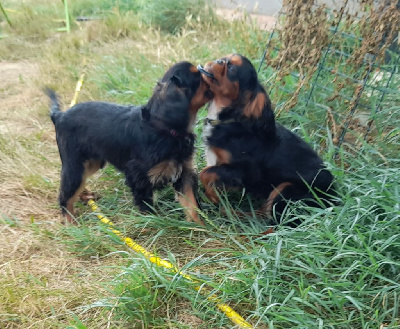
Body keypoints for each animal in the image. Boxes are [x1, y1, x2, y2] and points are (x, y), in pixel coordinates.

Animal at [46, 61, 212, 224]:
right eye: (197, 77)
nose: (210, 72)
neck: (163, 129)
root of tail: (59, 115)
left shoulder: (184, 172)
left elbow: (192, 205)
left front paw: (200, 227)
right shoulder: (138, 177)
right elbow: (147, 209)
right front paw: (153, 224)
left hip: (92, 161)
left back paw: (84, 195)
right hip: (74, 163)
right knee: (66, 192)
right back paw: (71, 222)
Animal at [198, 53, 336, 224]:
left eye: (231, 68)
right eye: (224, 58)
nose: (219, 60)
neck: (229, 119)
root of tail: (335, 198)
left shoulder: (244, 171)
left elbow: (205, 173)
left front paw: (213, 196)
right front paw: (212, 196)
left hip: (286, 190)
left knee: (275, 223)